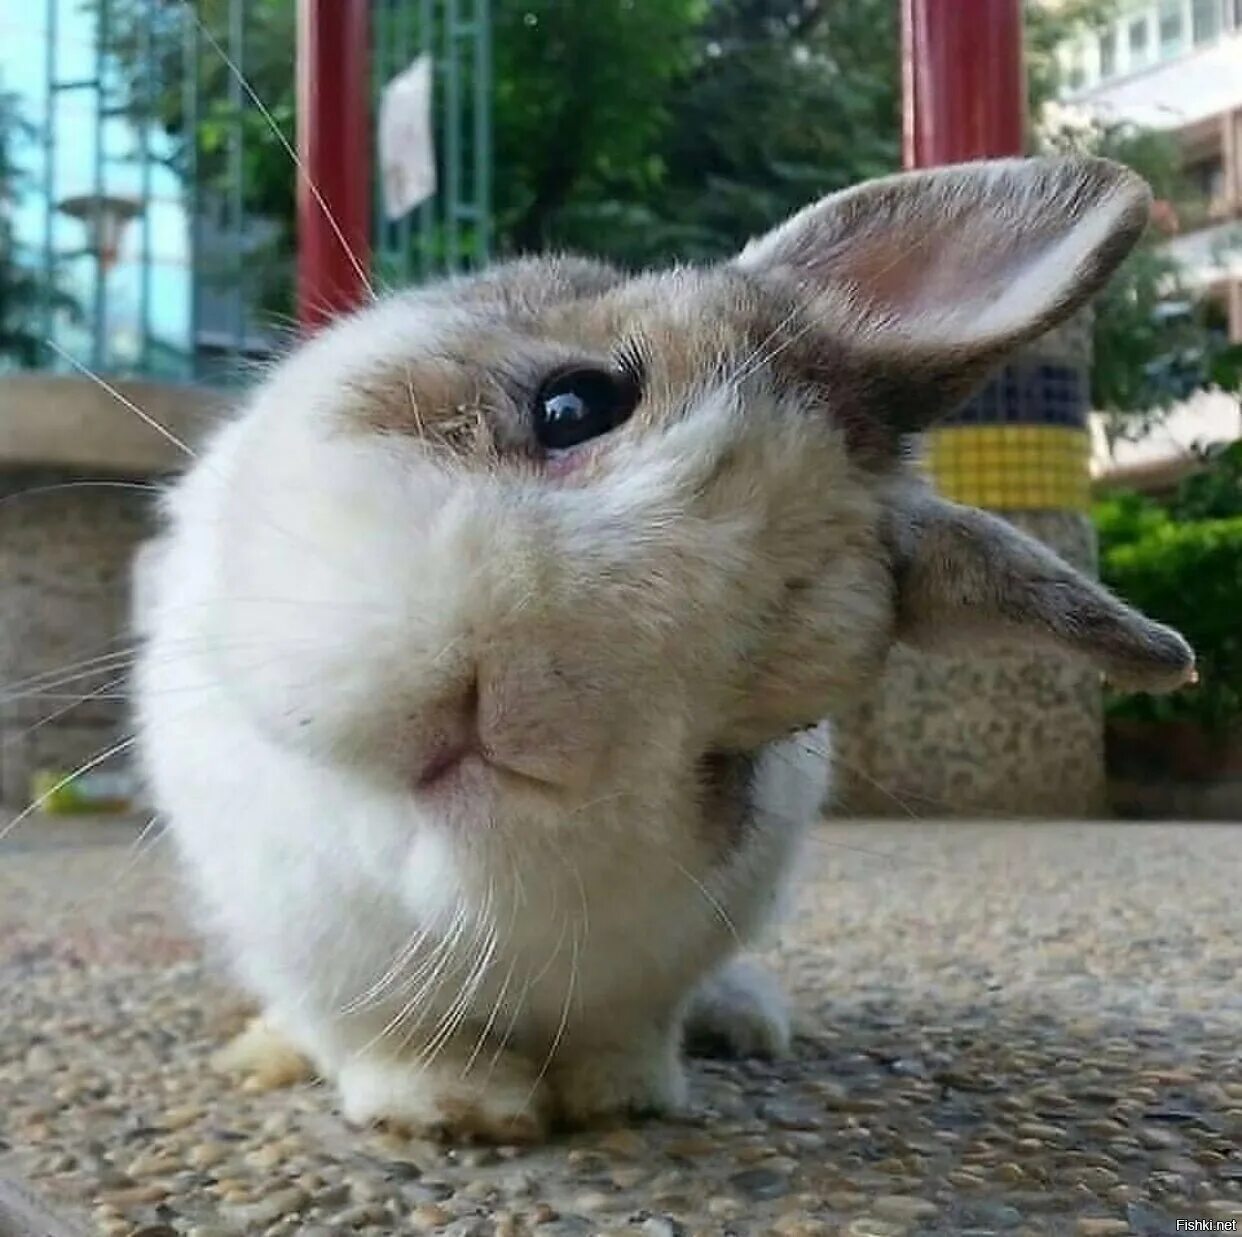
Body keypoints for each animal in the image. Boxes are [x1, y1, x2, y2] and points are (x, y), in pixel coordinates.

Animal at [133, 158, 1192, 1147]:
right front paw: (452, 1110)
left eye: (779, 713)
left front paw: (622, 1099)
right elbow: (376, 1033)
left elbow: (624, 1035)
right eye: (574, 402)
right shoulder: (307, 946)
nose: (519, 711)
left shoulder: (660, 963)